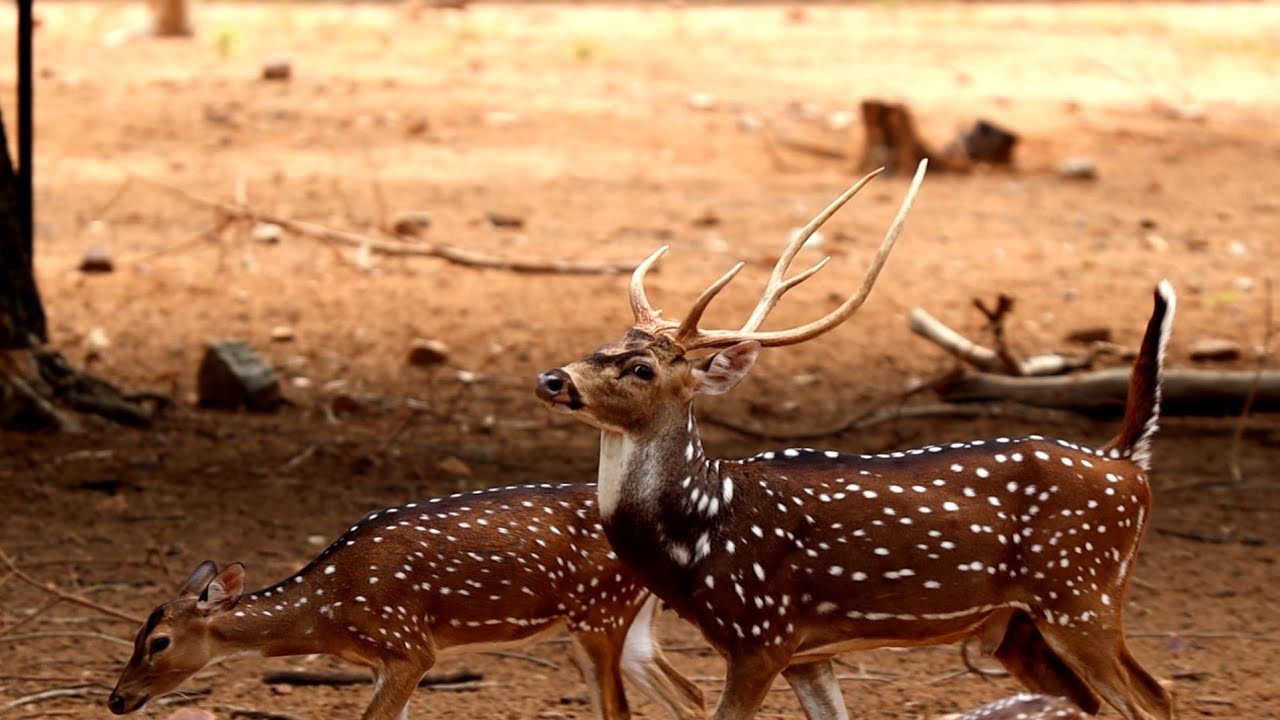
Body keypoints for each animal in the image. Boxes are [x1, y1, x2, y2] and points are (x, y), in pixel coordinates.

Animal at [108, 483, 705, 720]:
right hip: (627, 620)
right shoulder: (388, 660)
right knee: (692, 693)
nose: (116, 699)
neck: (328, 611)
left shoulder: (410, 645)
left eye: (158, 642)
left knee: (621, 710)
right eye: (133, 636)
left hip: (598, 612)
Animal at [535, 159, 1176, 720]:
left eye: (641, 368)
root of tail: (1127, 461)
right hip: (1018, 624)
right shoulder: (804, 652)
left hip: (1081, 592)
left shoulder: (761, 632)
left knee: (1155, 698)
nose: (552, 379)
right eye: (603, 344)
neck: (698, 537)